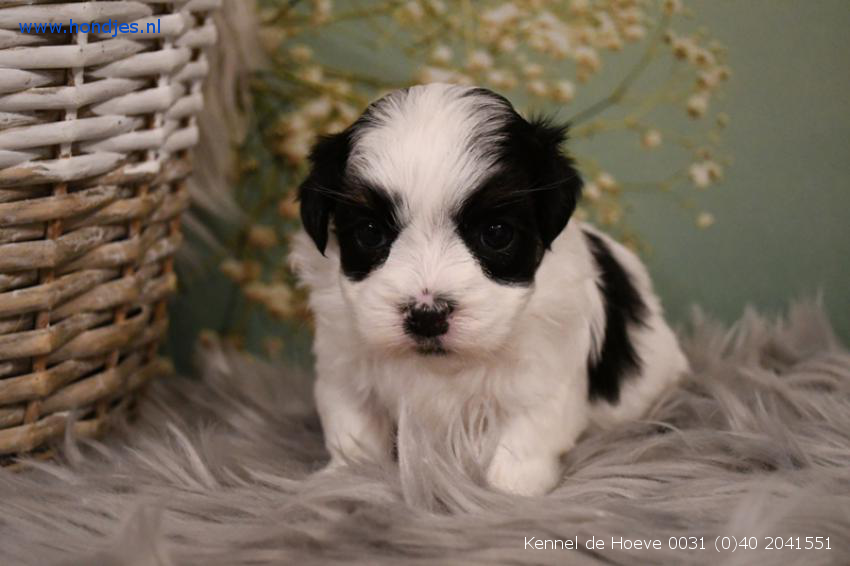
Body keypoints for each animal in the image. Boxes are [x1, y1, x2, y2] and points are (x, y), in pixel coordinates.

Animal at [288, 84, 684, 496]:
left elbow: (523, 442)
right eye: (369, 232)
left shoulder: (541, 380)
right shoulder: (344, 369)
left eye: (496, 233)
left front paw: (505, 495)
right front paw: (345, 479)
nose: (427, 316)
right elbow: (353, 429)